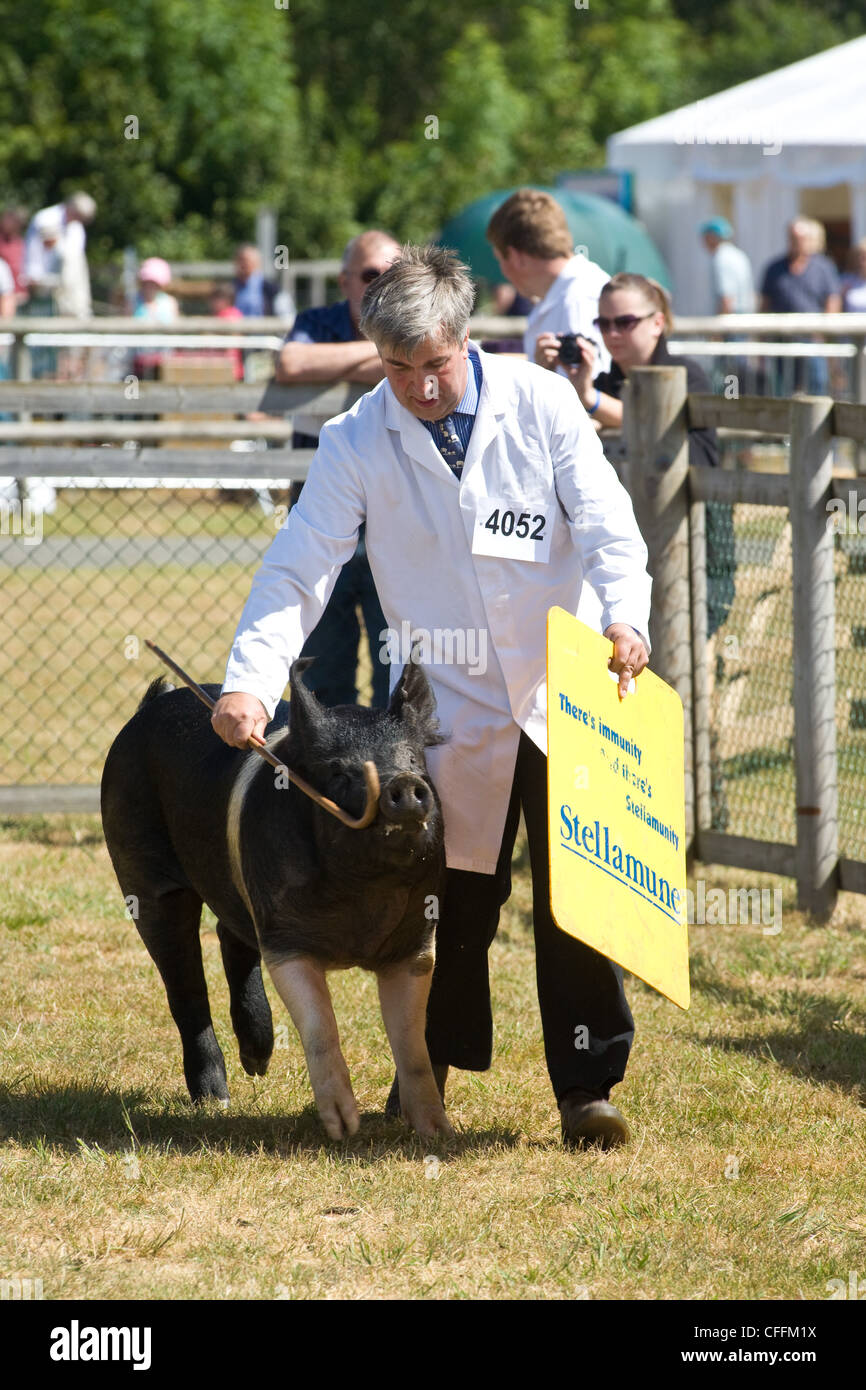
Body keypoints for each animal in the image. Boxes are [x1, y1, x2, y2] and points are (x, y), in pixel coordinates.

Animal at [100, 658, 453, 1139]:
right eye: (338, 771)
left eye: (415, 758)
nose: (404, 783)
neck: (363, 894)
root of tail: (155, 702)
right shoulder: (286, 939)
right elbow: (320, 1024)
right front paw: (343, 1126)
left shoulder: (416, 942)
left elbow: (411, 1042)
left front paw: (436, 1131)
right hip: (142, 871)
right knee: (185, 985)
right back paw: (217, 1100)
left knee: (229, 936)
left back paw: (258, 1062)